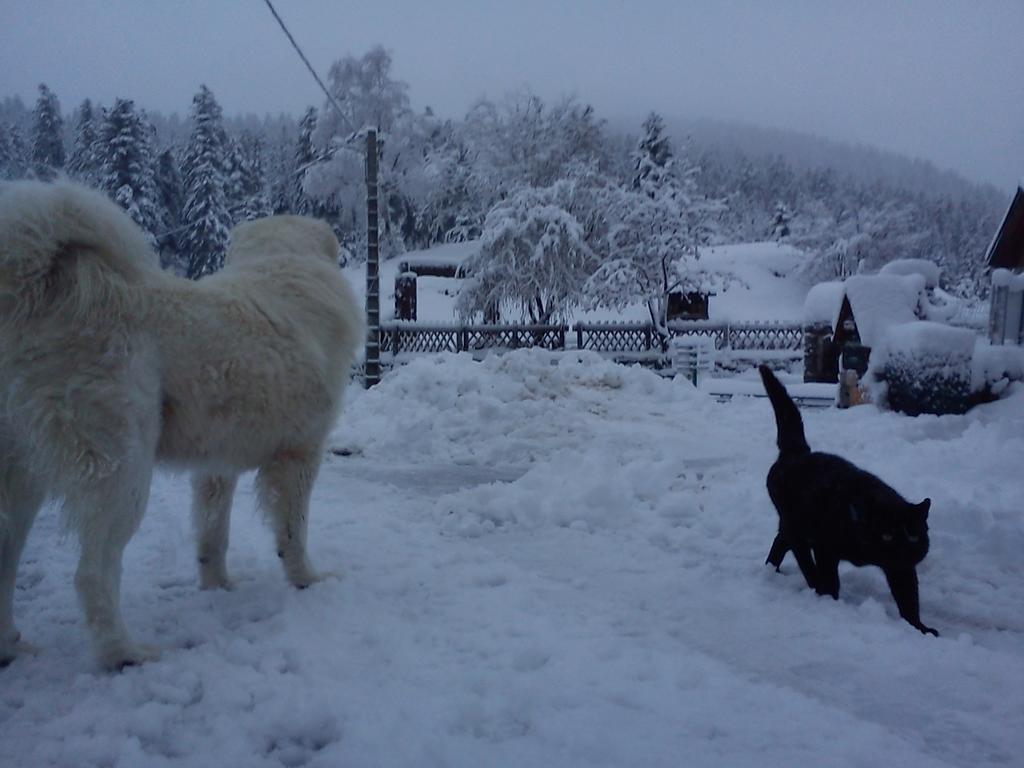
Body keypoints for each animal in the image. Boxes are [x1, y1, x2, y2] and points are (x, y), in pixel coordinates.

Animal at [0, 183, 366, 671]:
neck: (283, 263)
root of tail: (39, 290)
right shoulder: (300, 454)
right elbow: (293, 530)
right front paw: (307, 579)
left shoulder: (216, 467)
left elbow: (213, 534)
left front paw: (217, 588)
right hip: (121, 473)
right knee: (93, 573)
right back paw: (124, 653)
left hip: (22, 483)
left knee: (6, 561)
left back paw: (11, 646)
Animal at [757, 366, 937, 638]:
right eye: (886, 535)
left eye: (913, 536)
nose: (903, 549)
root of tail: (797, 453)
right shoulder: (826, 548)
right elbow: (831, 578)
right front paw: (830, 599)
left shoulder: (901, 569)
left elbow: (908, 598)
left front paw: (920, 628)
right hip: (797, 527)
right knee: (799, 554)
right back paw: (807, 583)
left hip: (792, 526)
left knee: (780, 543)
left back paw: (774, 572)